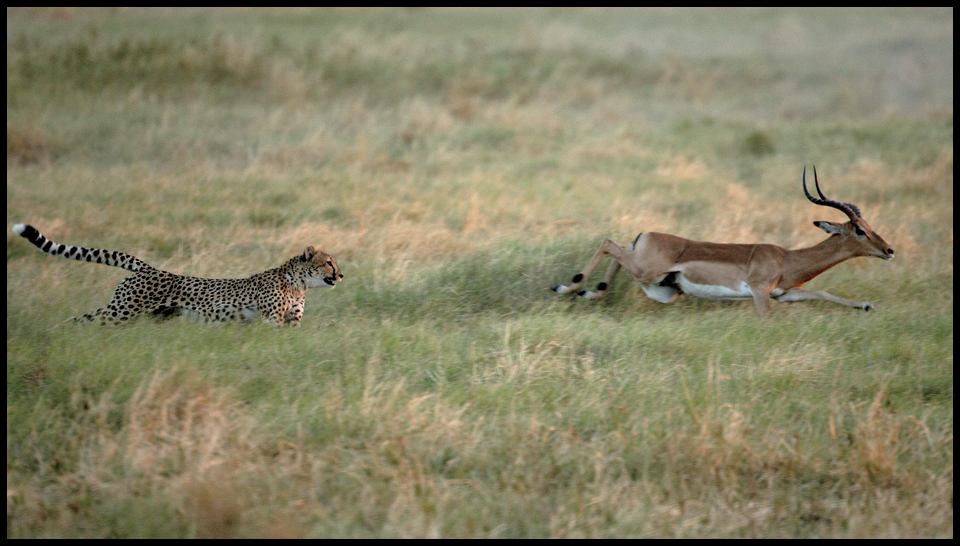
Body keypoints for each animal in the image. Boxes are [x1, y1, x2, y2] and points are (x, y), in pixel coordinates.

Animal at [12, 223, 344, 326]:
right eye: (329, 262)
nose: (342, 276)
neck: (299, 284)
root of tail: (151, 268)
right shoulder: (271, 320)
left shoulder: (290, 321)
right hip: (122, 311)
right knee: (85, 321)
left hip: (138, 313)